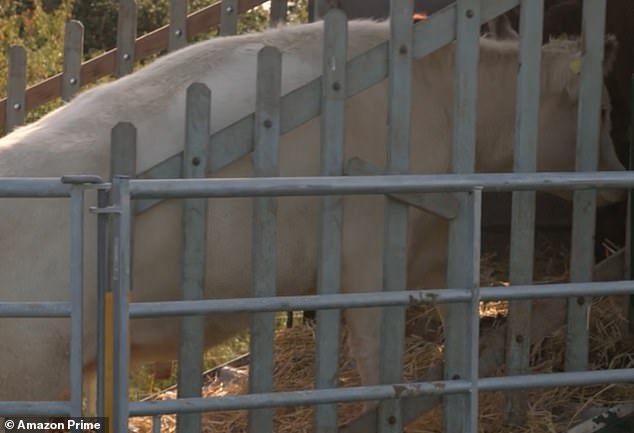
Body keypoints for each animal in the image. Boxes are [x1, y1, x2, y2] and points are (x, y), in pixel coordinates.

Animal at [0, 19, 624, 404]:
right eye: (603, 106)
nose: (617, 183)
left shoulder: (435, 250)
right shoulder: (370, 259)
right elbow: (376, 363)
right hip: (32, 371)